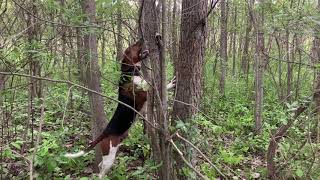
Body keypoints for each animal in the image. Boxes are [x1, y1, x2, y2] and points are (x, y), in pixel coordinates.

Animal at [64, 38, 175, 178]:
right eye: (133, 46)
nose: (141, 38)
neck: (129, 72)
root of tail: (104, 133)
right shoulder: (146, 92)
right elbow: (158, 88)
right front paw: (171, 83)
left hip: (110, 153)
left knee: (100, 166)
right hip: (110, 156)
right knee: (101, 173)